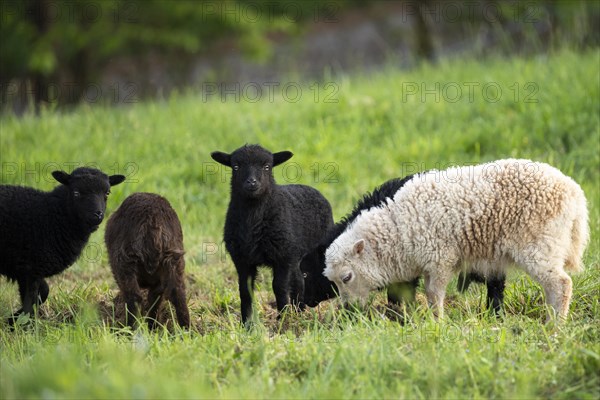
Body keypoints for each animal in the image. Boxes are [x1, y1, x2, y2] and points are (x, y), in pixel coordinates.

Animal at [0, 167, 124, 324]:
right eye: (76, 193)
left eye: (107, 193)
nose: (98, 215)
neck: (53, 216)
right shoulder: (28, 268)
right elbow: (31, 302)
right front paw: (21, 324)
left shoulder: (31, 270)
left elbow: (44, 292)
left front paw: (13, 318)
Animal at [104, 193, 190, 328]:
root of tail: (153, 221)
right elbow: (155, 299)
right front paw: (153, 326)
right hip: (174, 261)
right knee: (178, 294)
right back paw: (185, 330)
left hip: (125, 262)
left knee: (133, 297)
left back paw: (129, 328)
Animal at [210, 144, 332, 324]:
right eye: (236, 166)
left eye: (267, 166)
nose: (252, 182)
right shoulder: (242, 260)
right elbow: (245, 290)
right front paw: (246, 323)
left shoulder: (283, 256)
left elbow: (279, 286)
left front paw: (282, 318)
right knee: (298, 279)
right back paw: (299, 309)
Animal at [326, 159, 588, 322]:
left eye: (346, 277)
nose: (348, 310)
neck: (397, 227)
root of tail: (574, 194)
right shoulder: (429, 264)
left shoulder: (440, 258)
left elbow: (434, 294)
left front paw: (437, 323)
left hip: (539, 244)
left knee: (562, 284)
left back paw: (555, 326)